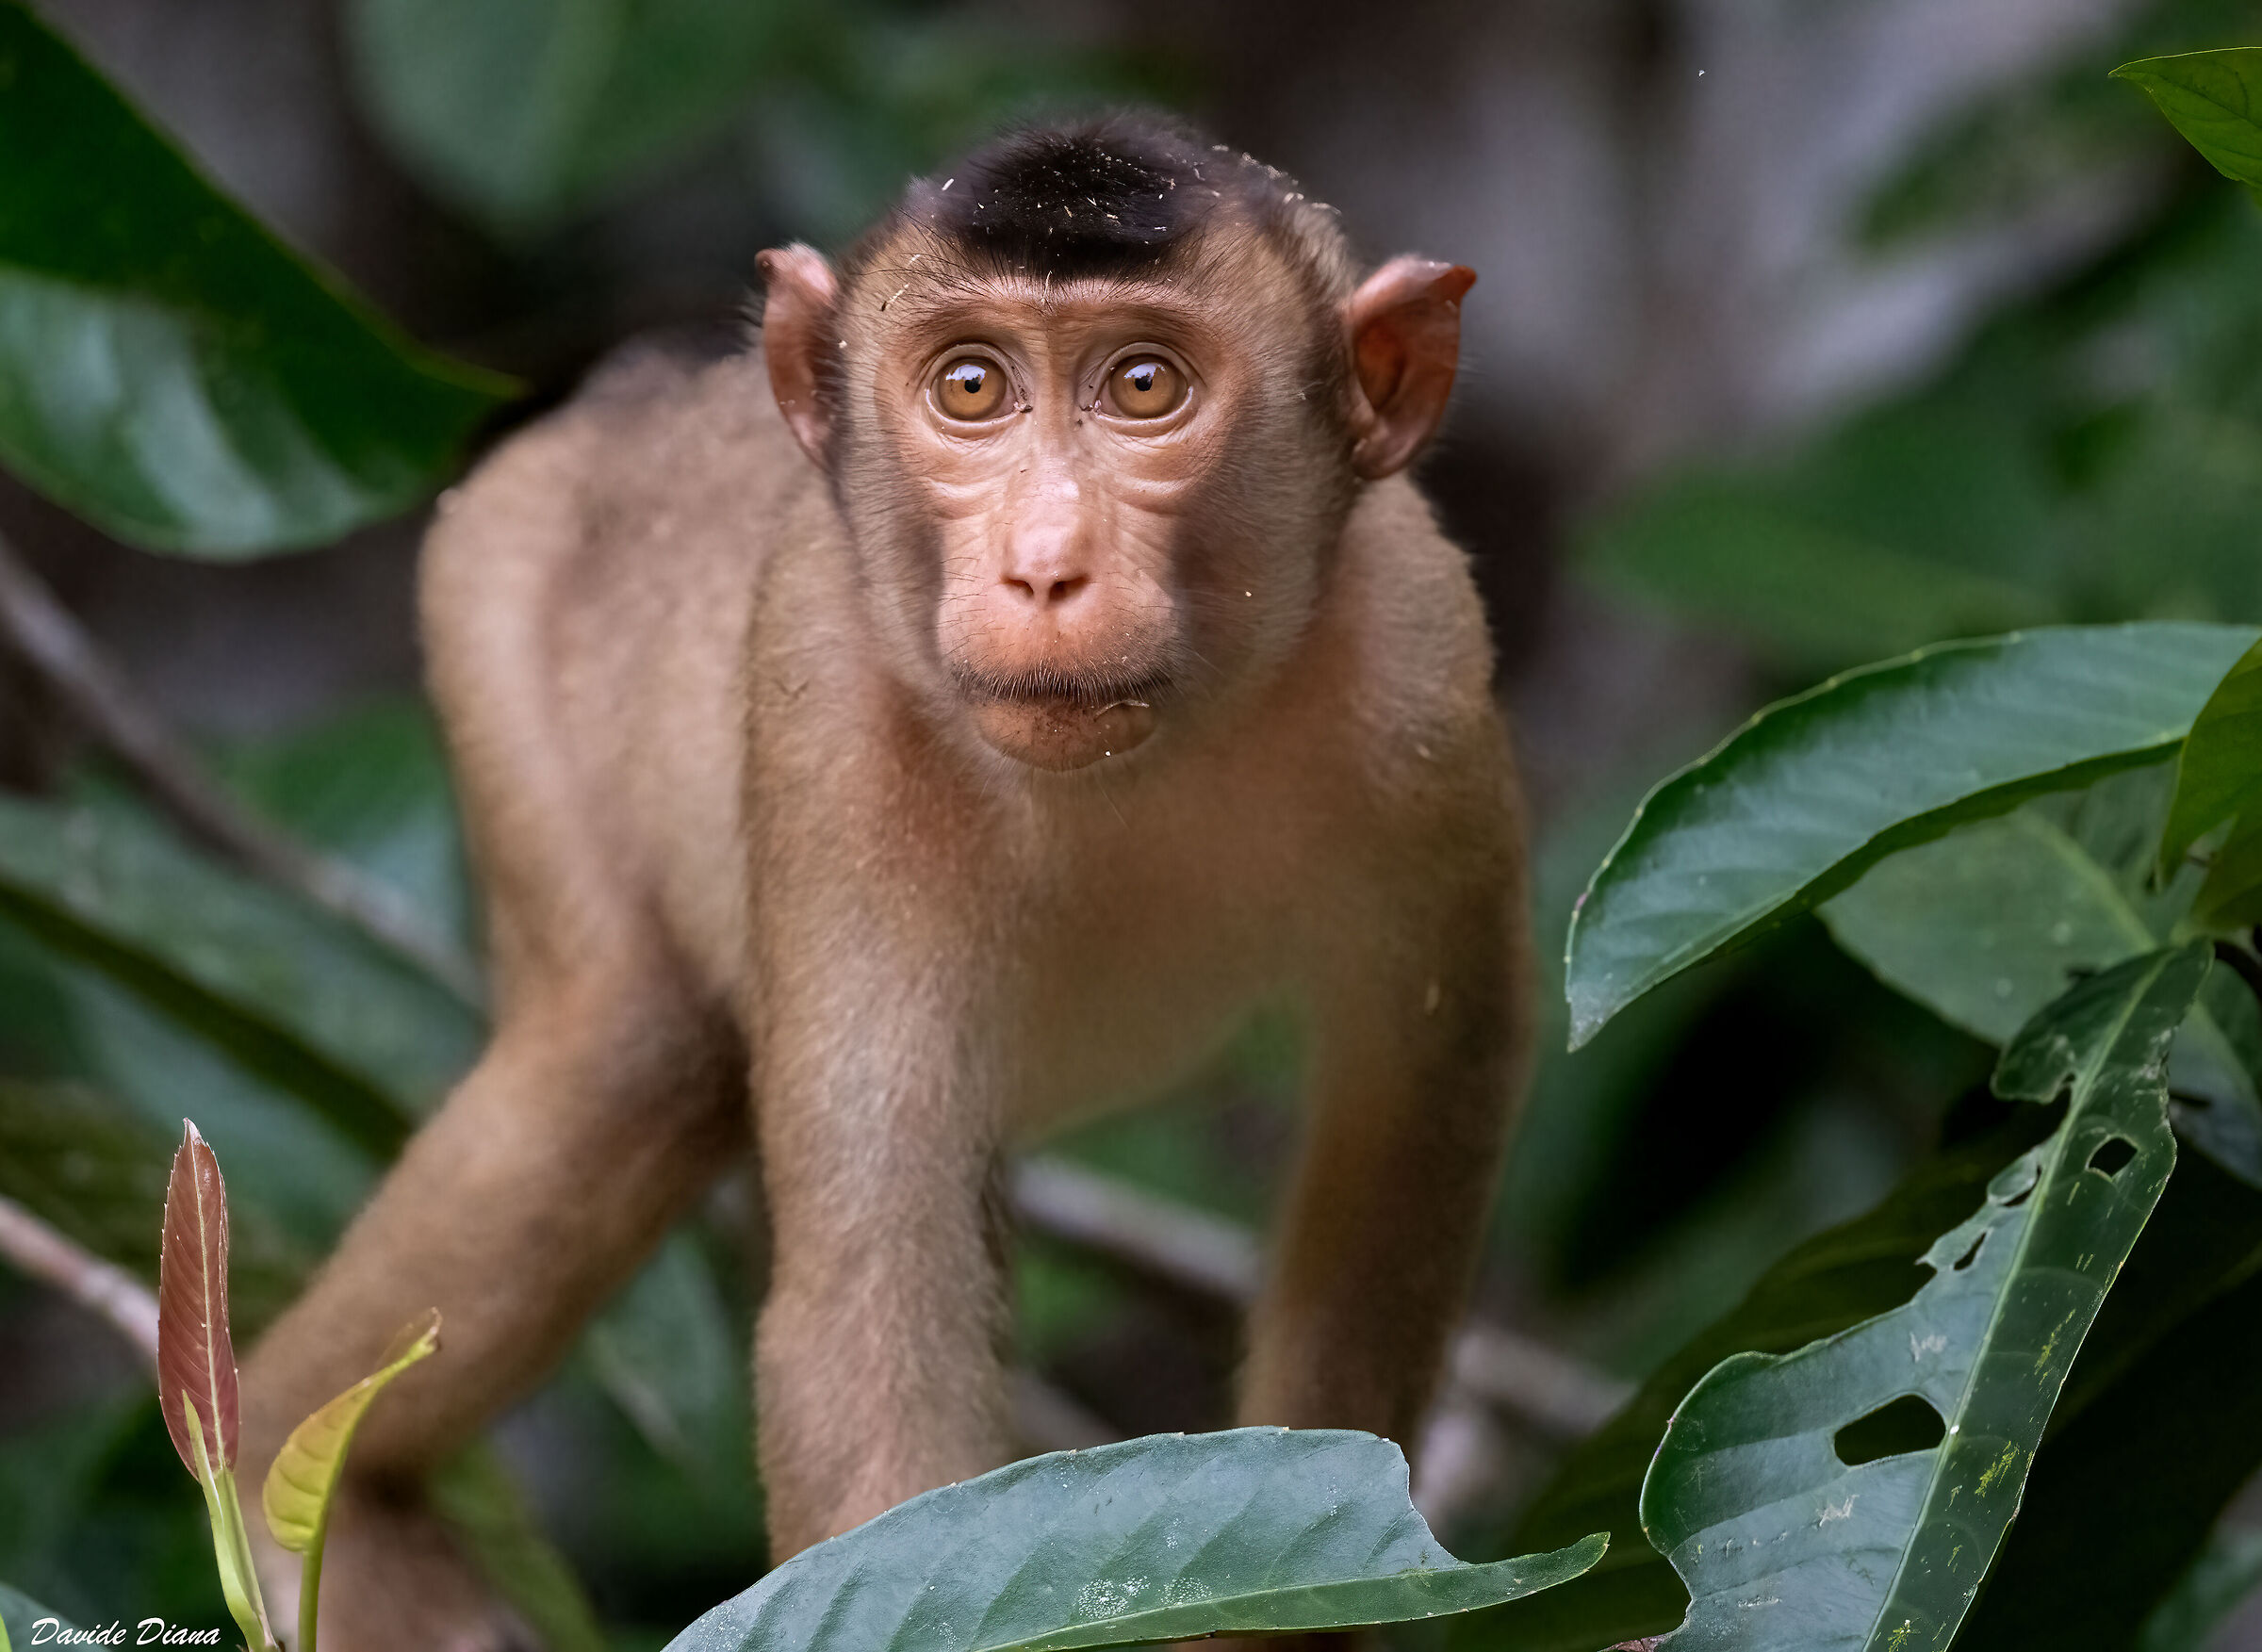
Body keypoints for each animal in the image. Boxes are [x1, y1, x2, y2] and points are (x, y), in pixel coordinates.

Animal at [237, 113, 1531, 1649]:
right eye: (969, 386)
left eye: (1144, 384)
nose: (1044, 566)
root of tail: (636, 394)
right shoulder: (831, 718)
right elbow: (867, 1309)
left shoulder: (1422, 676)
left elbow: (1402, 1156)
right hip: (495, 593)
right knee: (631, 1053)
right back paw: (293, 1469)